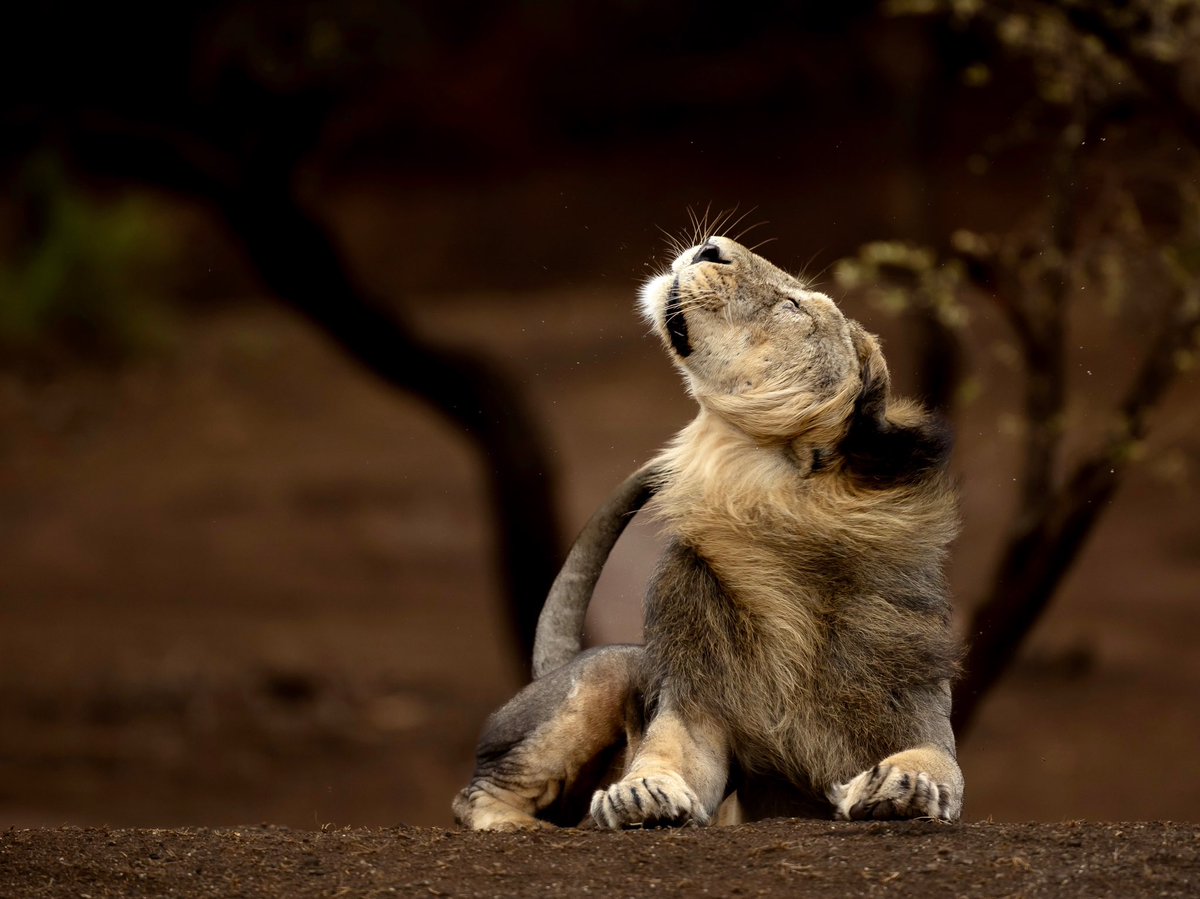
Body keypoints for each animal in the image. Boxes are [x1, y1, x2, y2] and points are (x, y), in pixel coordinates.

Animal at [451, 236, 964, 825]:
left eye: (794, 307)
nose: (709, 248)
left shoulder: (918, 708)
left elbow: (935, 759)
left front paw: (904, 784)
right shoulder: (695, 705)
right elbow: (667, 753)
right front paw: (640, 792)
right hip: (600, 677)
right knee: (477, 792)